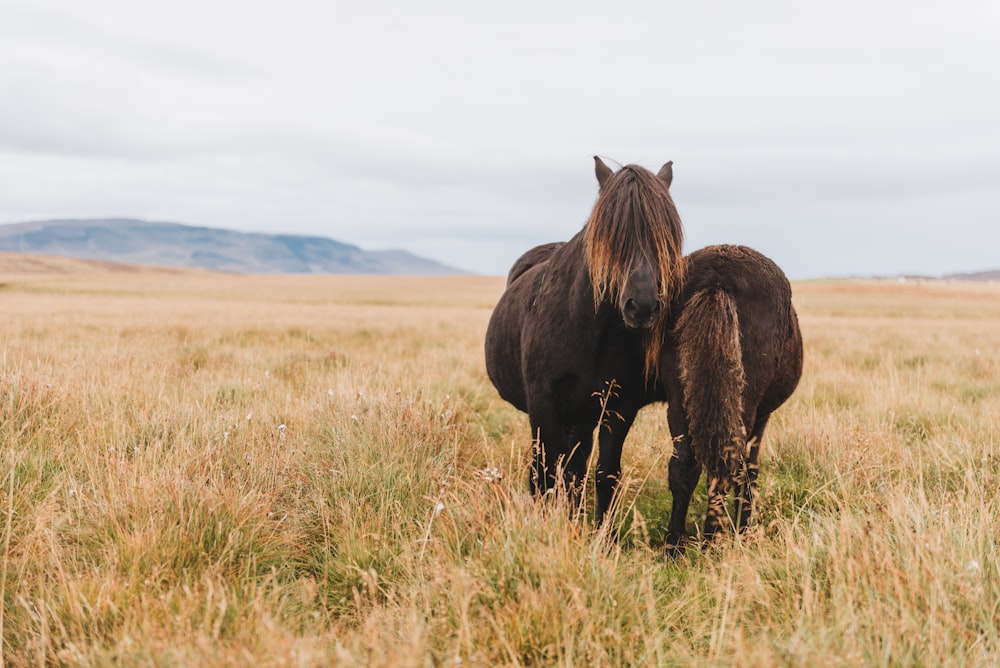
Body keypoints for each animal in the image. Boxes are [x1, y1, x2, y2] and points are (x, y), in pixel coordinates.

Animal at [484, 155, 688, 500]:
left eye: (665, 236)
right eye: (610, 235)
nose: (642, 306)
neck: (592, 334)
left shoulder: (617, 408)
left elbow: (604, 474)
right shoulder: (544, 403)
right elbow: (545, 475)